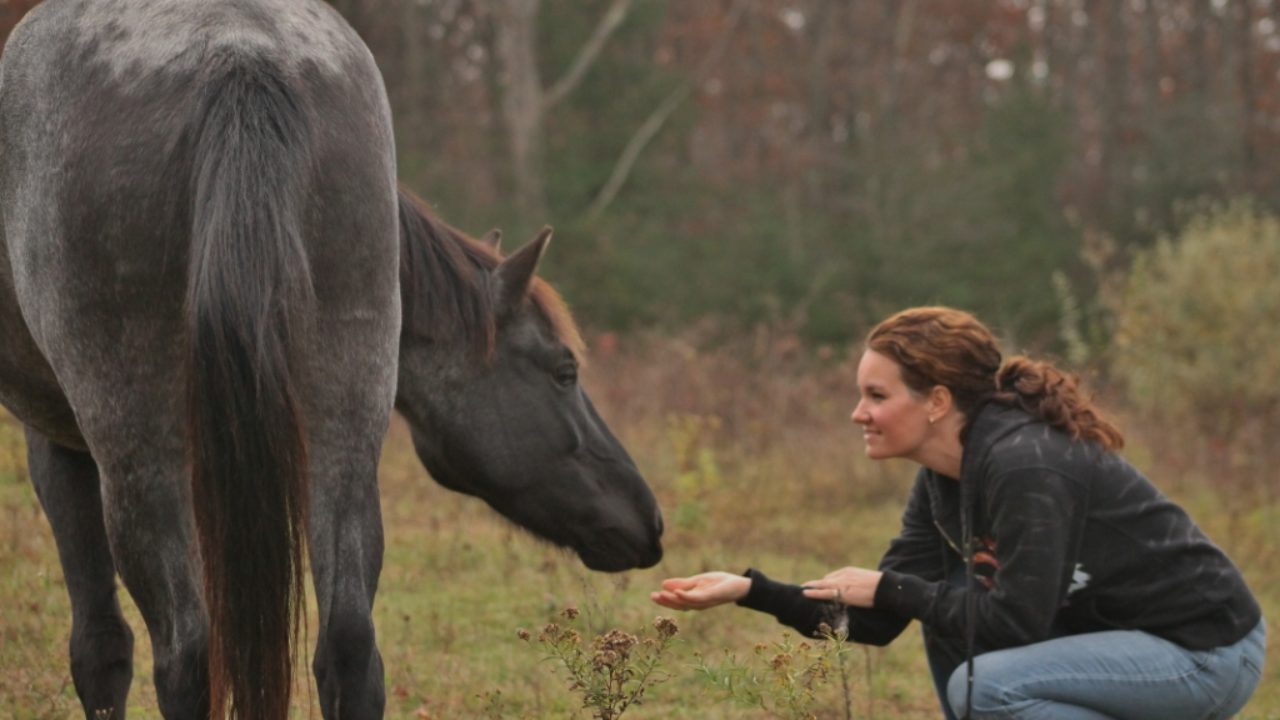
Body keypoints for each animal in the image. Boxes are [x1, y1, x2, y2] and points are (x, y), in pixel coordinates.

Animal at [0, 1, 660, 717]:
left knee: (187, 655)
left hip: (140, 455)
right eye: (564, 371)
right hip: (342, 428)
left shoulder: (60, 448)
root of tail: (240, 60)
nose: (648, 519)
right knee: (348, 646)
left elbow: (100, 649)